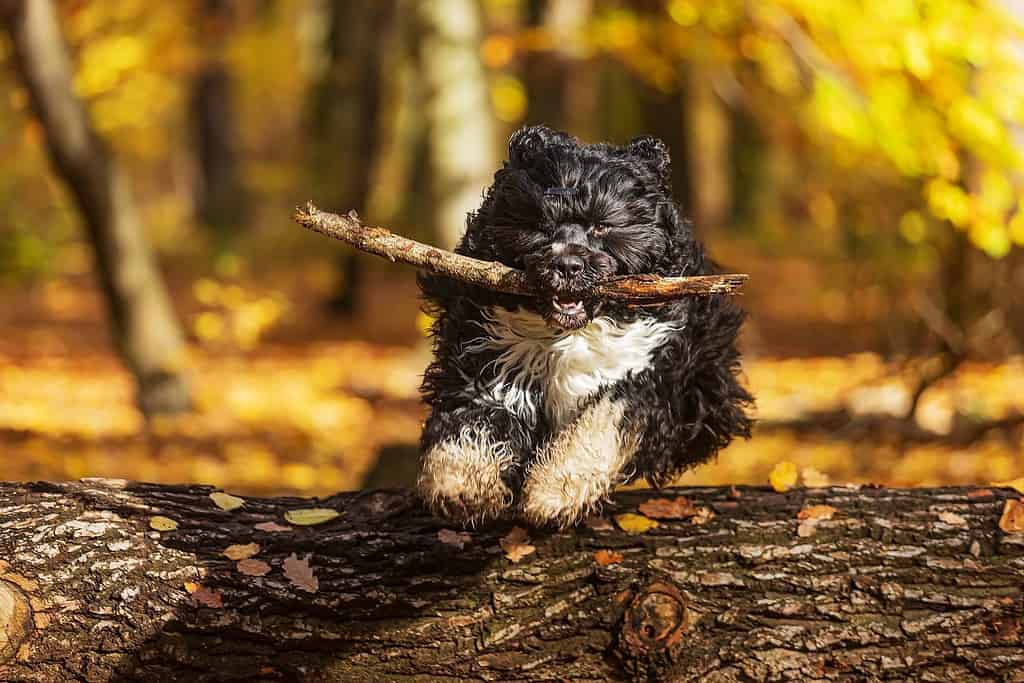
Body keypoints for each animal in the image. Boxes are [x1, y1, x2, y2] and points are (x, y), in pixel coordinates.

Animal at [413, 125, 753, 528]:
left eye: (602, 226)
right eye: (542, 226)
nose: (567, 265)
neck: (570, 333)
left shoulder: (647, 372)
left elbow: (602, 425)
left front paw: (554, 491)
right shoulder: (487, 361)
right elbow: (470, 419)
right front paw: (461, 484)